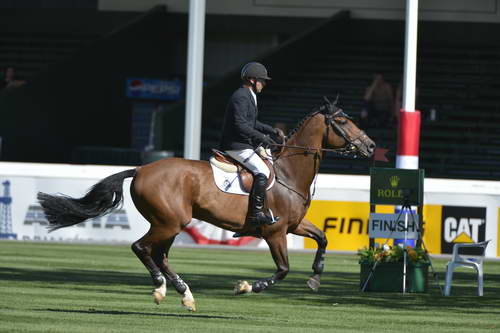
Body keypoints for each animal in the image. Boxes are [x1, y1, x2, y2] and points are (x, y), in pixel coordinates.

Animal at [38, 96, 376, 312]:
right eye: (342, 121)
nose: (371, 146)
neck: (288, 173)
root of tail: (141, 168)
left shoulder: (294, 225)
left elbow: (323, 238)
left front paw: (316, 278)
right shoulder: (276, 232)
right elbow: (282, 270)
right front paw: (247, 287)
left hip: (171, 223)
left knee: (159, 254)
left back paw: (184, 294)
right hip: (169, 222)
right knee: (142, 248)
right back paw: (161, 288)